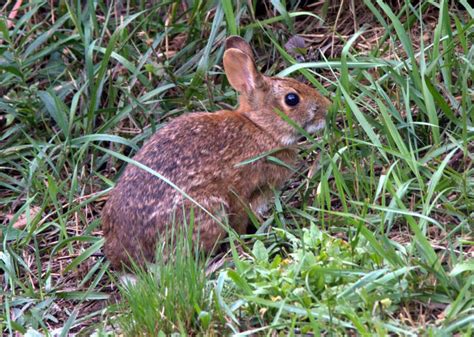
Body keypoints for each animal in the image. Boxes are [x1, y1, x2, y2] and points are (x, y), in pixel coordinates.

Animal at [102, 36, 332, 268]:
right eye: (292, 99)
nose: (328, 108)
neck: (261, 128)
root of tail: (123, 256)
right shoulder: (243, 192)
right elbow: (240, 218)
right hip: (208, 211)